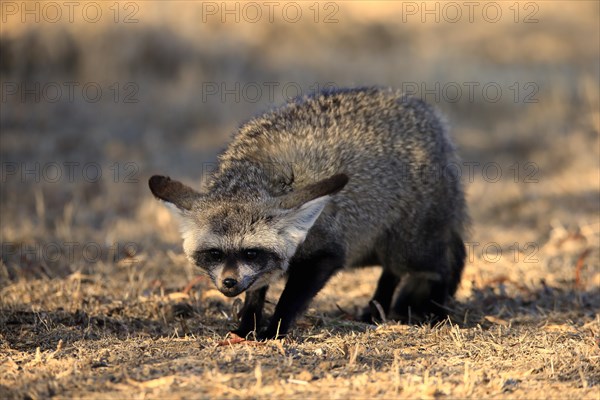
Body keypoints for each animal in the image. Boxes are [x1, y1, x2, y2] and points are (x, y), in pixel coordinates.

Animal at [150, 86, 468, 340]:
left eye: (251, 253)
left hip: (410, 248)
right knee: (391, 273)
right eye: (215, 254)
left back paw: (437, 312)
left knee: (438, 264)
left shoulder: (325, 253)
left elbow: (289, 299)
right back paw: (375, 312)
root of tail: (431, 117)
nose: (229, 282)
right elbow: (255, 291)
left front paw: (274, 331)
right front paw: (246, 328)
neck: (256, 174)